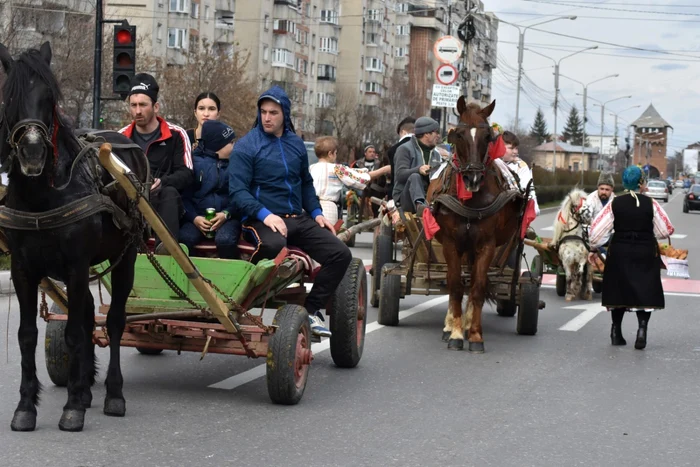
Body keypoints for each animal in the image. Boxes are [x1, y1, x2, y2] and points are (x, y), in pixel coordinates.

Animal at [0, 43, 149, 432]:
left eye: (50, 98)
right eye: (9, 97)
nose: (32, 152)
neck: (42, 195)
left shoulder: (77, 265)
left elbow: (73, 333)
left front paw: (72, 410)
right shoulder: (23, 270)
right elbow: (28, 335)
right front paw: (27, 406)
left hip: (125, 257)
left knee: (113, 322)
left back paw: (112, 394)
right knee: (84, 316)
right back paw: (83, 388)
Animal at [426, 99, 524, 354]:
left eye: (488, 136)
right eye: (459, 134)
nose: (473, 179)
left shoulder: (486, 245)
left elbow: (477, 288)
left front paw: (475, 336)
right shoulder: (451, 244)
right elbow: (455, 286)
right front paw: (456, 334)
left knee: (470, 282)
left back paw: (468, 323)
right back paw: (451, 325)